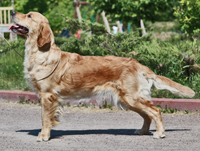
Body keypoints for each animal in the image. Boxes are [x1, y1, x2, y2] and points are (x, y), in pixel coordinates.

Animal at [9, 10, 195, 142]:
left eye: (29, 15)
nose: (12, 12)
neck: (40, 53)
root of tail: (138, 63)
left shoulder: (47, 96)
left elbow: (45, 118)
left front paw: (43, 136)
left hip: (132, 97)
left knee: (155, 111)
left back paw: (160, 133)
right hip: (127, 100)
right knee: (147, 115)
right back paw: (142, 131)